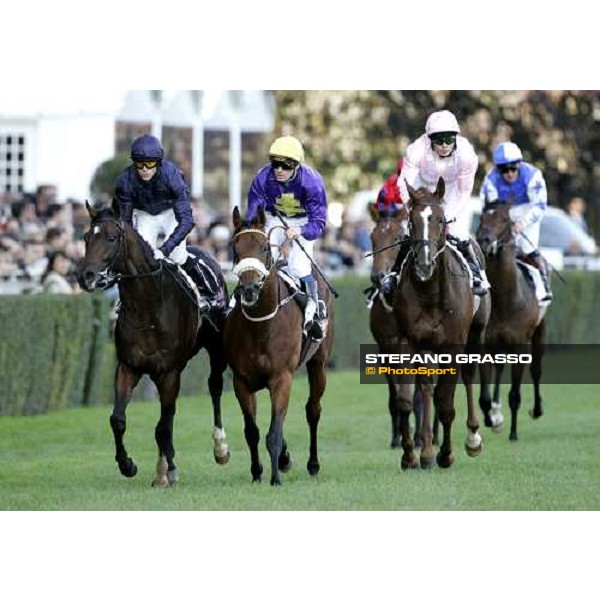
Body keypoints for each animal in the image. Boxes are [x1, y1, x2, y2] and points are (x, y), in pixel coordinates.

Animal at [77, 204, 230, 486]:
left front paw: (170, 469)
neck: (147, 310)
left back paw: (220, 448)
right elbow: (118, 419)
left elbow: (163, 426)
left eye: (111, 238)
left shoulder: (169, 372)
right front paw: (128, 465)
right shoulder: (128, 367)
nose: (85, 276)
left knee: (214, 387)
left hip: (215, 348)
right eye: (86, 238)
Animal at [224, 206, 336, 488]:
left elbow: (273, 432)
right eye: (234, 249)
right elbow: (252, 430)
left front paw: (275, 477)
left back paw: (313, 464)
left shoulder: (281, 377)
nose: (249, 289)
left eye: (264, 247)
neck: (261, 327)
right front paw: (257, 472)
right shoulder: (241, 381)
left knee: (313, 410)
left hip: (318, 364)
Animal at [392, 180, 490, 472]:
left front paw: (446, 454)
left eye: (440, 219)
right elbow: (407, 400)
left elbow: (445, 401)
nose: (424, 264)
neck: (430, 293)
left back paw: (472, 438)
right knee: (426, 389)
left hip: (475, 333)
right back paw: (425, 450)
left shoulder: (453, 345)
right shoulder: (408, 341)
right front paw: (411, 455)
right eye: (412, 221)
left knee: (468, 376)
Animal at [476, 202, 548, 440]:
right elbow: (484, 397)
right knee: (499, 369)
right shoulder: (486, 344)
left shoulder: (519, 345)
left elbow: (515, 394)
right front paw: (492, 418)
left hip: (539, 331)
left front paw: (514, 433)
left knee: (536, 369)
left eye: (504, 220)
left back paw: (537, 409)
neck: (505, 299)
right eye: (481, 218)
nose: (484, 240)